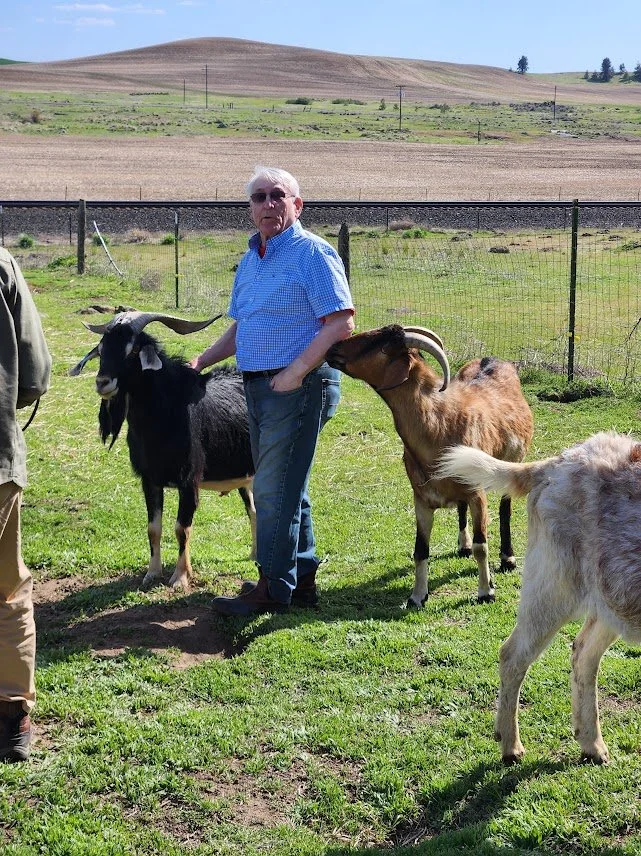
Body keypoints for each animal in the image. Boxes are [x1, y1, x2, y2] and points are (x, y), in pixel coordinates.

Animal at [70, 311, 255, 590]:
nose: (102, 383)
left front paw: (180, 577)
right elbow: (153, 528)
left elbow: (182, 528)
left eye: (134, 349)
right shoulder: (150, 480)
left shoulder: (189, 481)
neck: (163, 417)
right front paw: (152, 573)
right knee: (254, 510)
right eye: (101, 349)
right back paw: (255, 554)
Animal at [326, 324, 533, 606]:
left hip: (510, 463)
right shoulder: (422, 499)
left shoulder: (477, 494)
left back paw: (507, 559)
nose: (332, 348)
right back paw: (463, 545)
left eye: (378, 343)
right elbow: (420, 550)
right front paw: (417, 596)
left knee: (505, 509)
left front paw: (486, 592)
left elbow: (482, 546)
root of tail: (492, 359)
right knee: (461, 510)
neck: (440, 423)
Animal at [436, 432, 641, 764]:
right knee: (513, 653)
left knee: (583, 653)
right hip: (552, 585)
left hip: (612, 597)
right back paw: (510, 746)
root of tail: (556, 463)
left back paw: (592, 745)